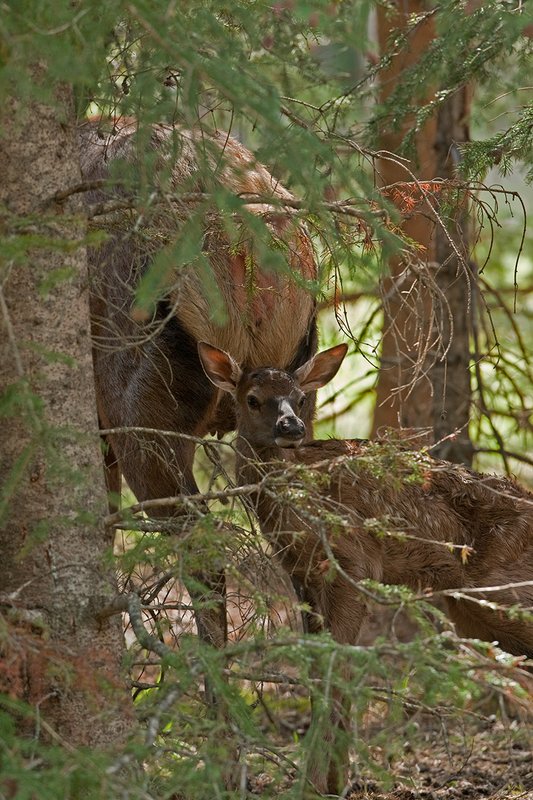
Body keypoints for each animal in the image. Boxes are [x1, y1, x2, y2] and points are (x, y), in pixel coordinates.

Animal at [198, 340, 533, 796]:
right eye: (252, 399)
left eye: (300, 399)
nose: (292, 427)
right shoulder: (303, 578)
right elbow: (320, 670)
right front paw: (335, 780)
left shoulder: (352, 565)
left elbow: (334, 674)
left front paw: (313, 785)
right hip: (472, 611)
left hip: (503, 592)